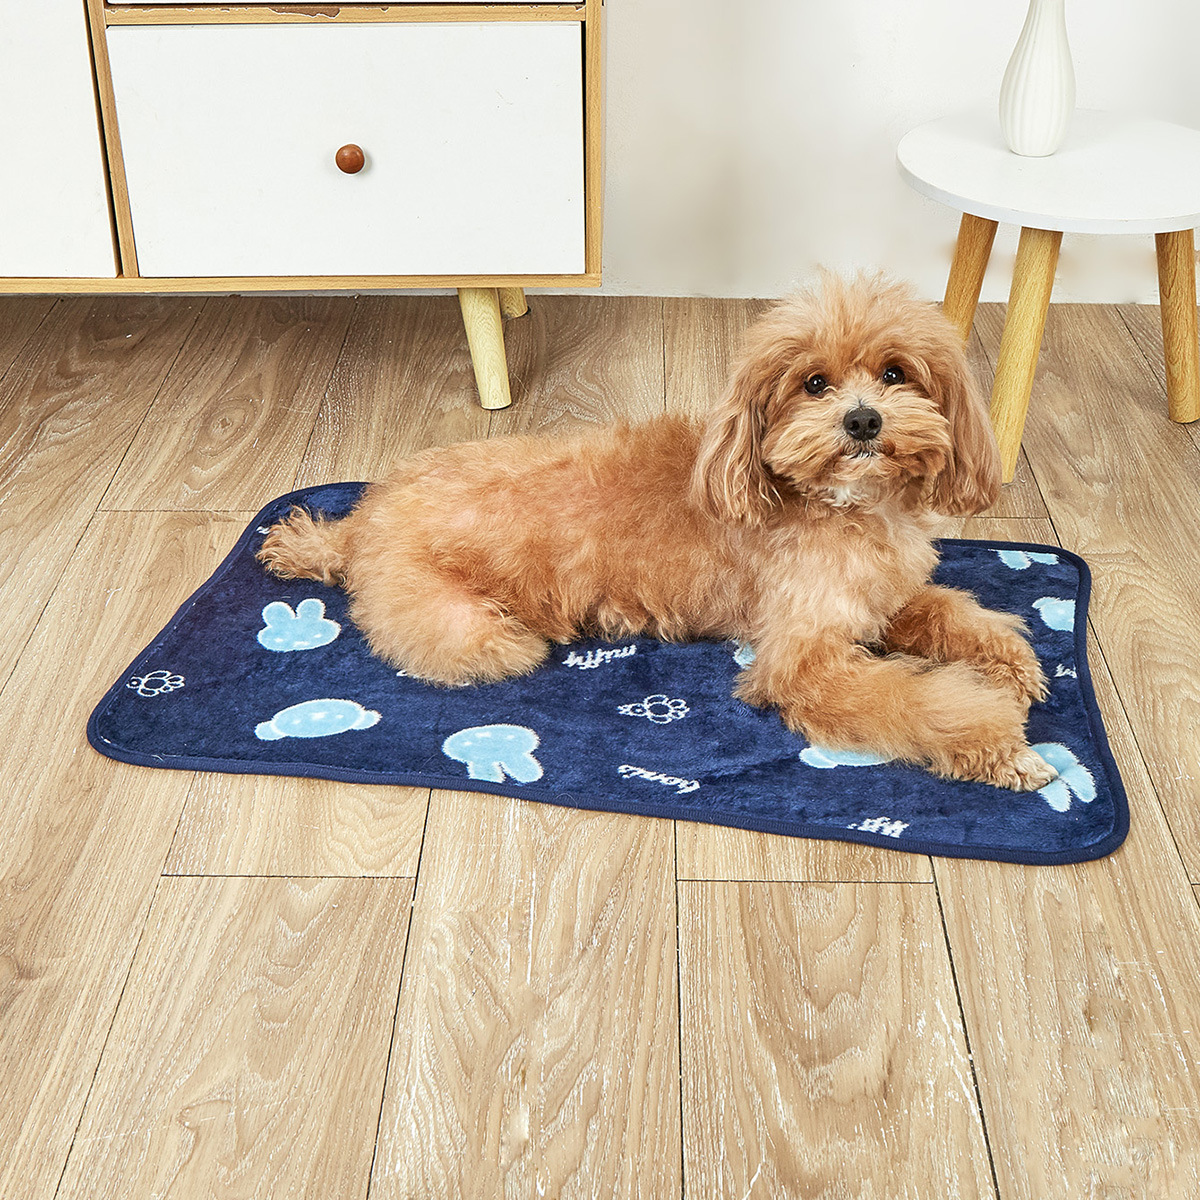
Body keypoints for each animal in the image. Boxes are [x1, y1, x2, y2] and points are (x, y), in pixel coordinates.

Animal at [259, 274, 1056, 790]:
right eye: (814, 384)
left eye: (895, 373)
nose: (863, 420)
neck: (841, 507)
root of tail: (361, 523)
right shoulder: (805, 658)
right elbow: (921, 703)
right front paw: (1003, 746)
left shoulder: (884, 598)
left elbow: (954, 611)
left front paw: (1010, 666)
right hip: (470, 632)